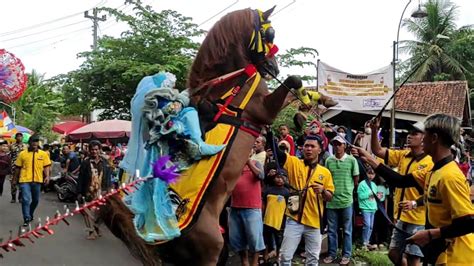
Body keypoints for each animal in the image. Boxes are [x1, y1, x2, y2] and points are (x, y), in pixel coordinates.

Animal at [100, 6, 308, 266]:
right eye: (269, 33)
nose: (273, 68)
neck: (230, 82)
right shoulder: (263, 110)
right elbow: (294, 82)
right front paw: (306, 110)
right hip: (211, 247)